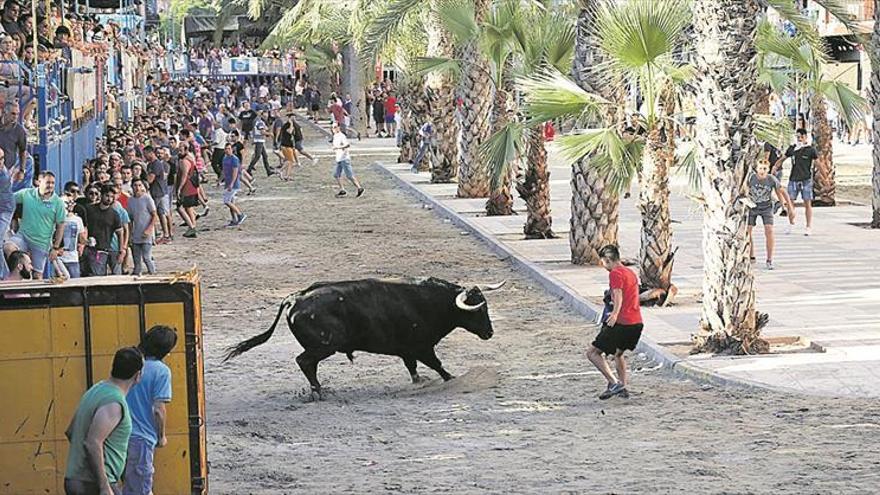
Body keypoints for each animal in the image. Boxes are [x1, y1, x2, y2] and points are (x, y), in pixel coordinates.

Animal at [223, 278, 506, 398]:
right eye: (478, 309)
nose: (490, 333)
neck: (430, 302)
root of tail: (296, 298)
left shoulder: (408, 351)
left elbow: (413, 369)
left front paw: (419, 382)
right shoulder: (422, 347)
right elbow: (438, 366)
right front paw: (453, 380)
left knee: (307, 364)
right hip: (325, 345)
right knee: (304, 361)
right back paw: (318, 392)